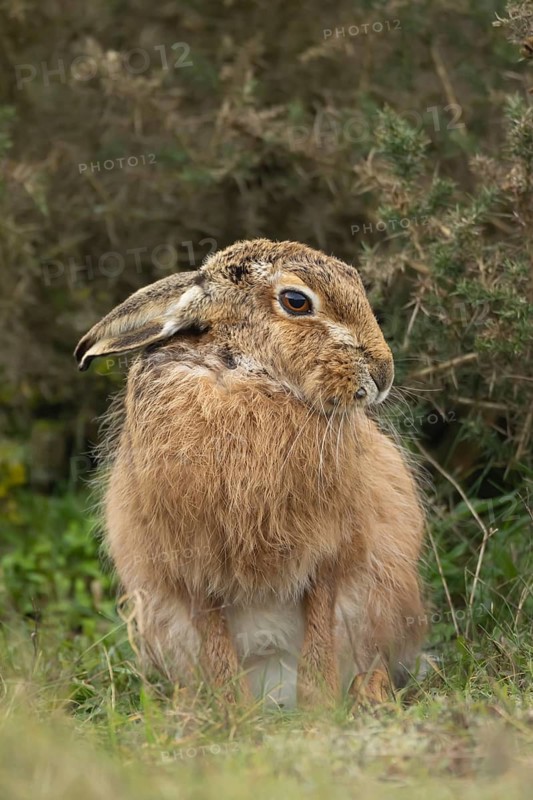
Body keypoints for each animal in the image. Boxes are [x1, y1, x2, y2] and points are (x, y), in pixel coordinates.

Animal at [75, 238, 427, 708]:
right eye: (296, 301)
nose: (383, 374)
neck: (246, 371)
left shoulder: (329, 555)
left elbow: (320, 632)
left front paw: (318, 706)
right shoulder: (191, 569)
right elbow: (216, 644)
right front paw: (235, 714)